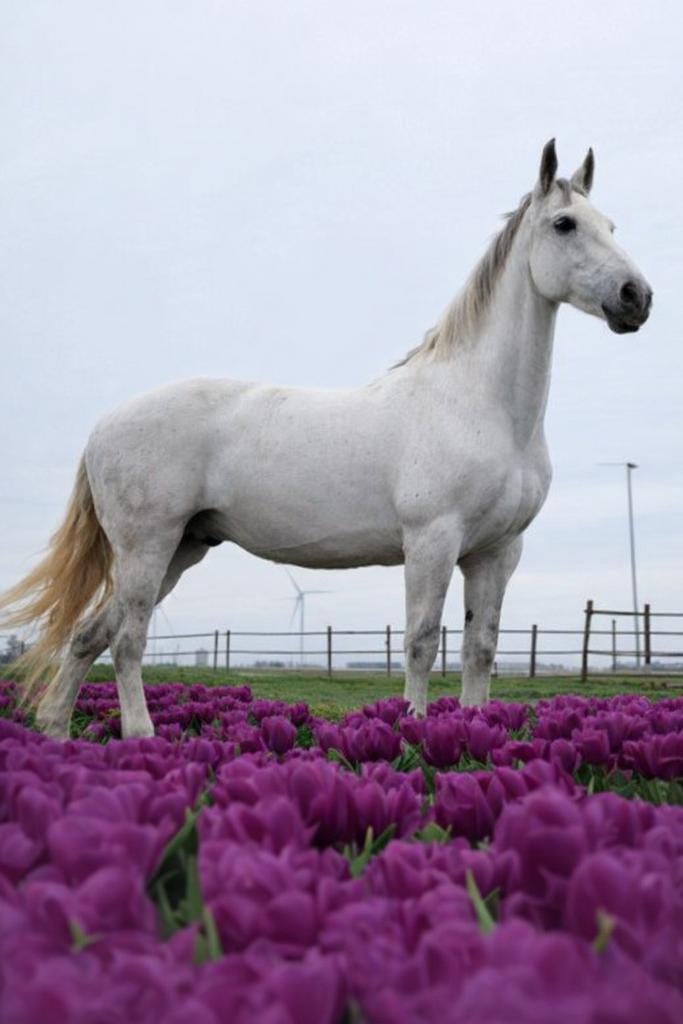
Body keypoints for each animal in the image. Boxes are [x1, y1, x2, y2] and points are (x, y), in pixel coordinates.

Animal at [1, 140, 652, 739]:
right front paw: (413, 731)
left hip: (181, 549)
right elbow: (421, 642)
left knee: (89, 634)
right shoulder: (432, 541)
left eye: (611, 225)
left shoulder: (497, 553)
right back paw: (140, 735)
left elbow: (480, 648)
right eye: (564, 224)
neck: (477, 404)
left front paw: (474, 732)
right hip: (148, 546)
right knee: (128, 639)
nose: (636, 297)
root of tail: (103, 425)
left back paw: (57, 729)